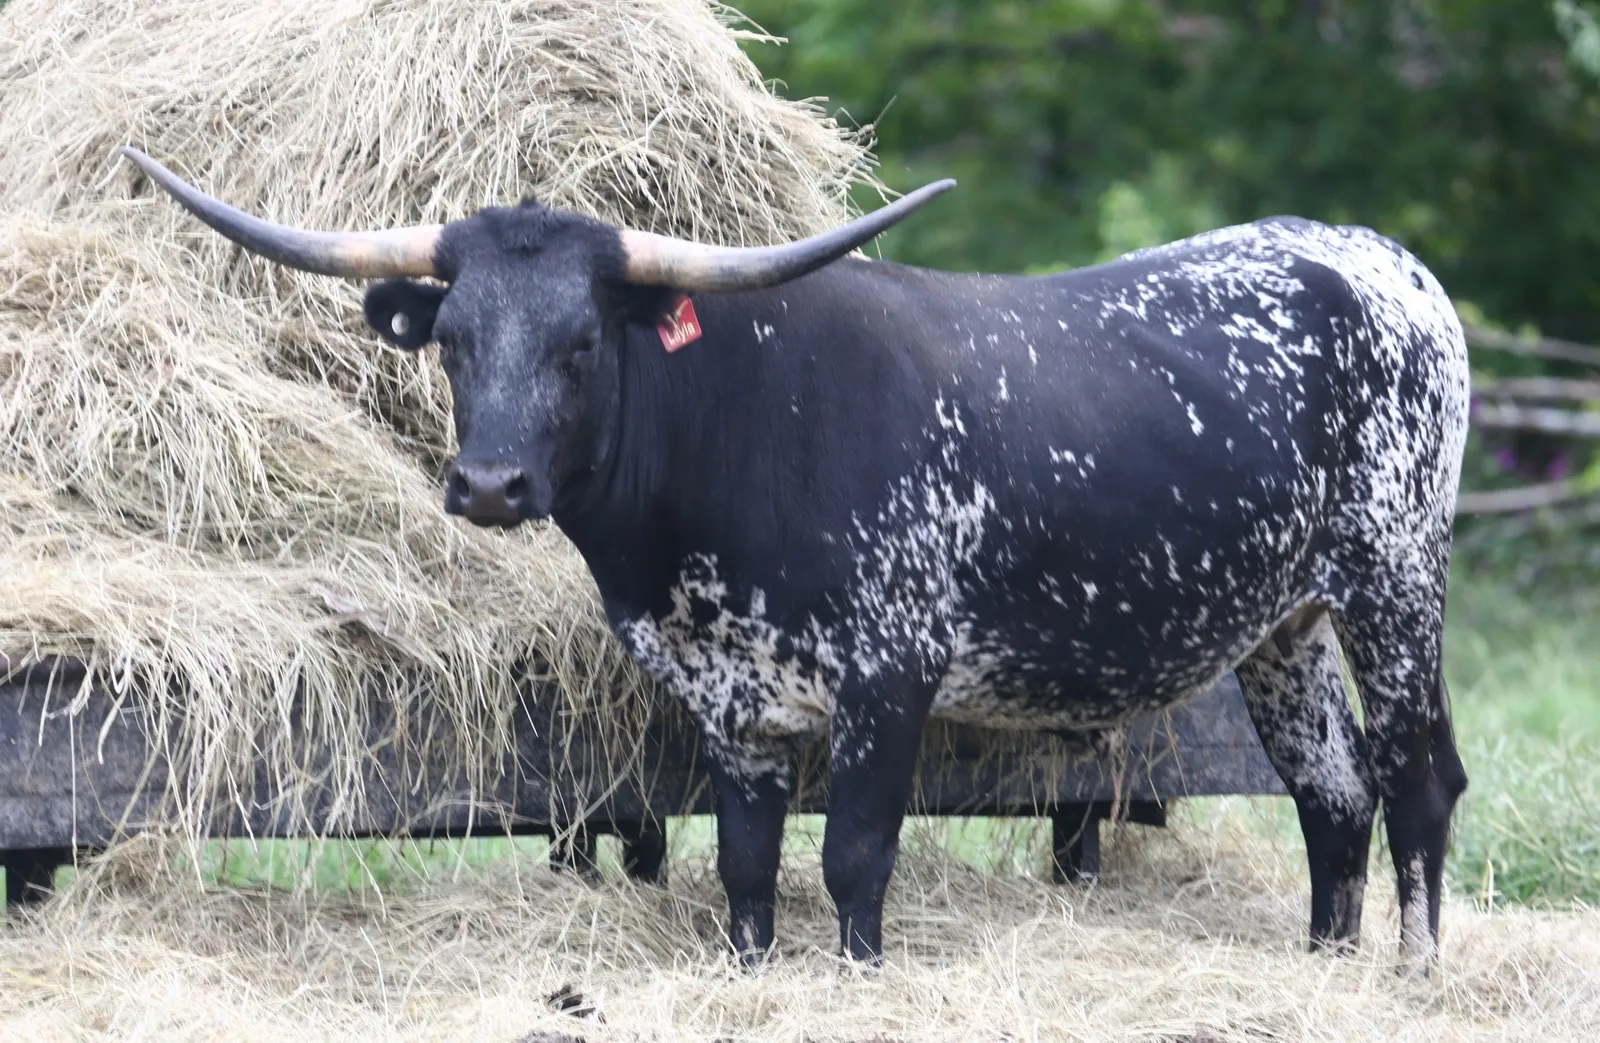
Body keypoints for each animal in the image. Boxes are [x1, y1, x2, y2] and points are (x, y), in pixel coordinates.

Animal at [122, 146, 1469, 974]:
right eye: (450, 337)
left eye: (580, 341)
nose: (491, 485)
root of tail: (1377, 256)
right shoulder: (731, 699)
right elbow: (747, 864)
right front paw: (753, 967)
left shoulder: (890, 674)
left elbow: (852, 856)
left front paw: (857, 977)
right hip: (1284, 622)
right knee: (1331, 792)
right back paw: (1322, 965)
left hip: (1394, 581)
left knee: (1416, 777)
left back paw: (1411, 972)